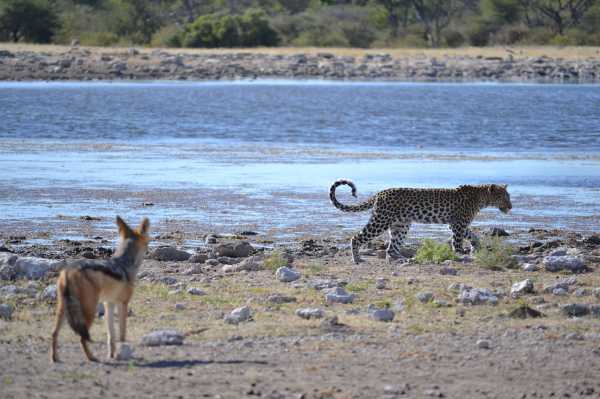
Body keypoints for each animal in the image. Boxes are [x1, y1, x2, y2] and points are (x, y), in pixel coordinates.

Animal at [328, 180, 510, 264]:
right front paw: (461, 253)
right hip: (381, 220)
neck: (482, 198)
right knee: (356, 237)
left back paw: (404, 259)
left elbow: (473, 235)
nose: (511, 206)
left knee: (391, 248)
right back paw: (357, 259)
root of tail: (380, 193)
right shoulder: (458, 224)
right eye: (503, 197)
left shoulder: (458, 224)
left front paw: (475, 246)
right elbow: (458, 240)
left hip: (401, 225)